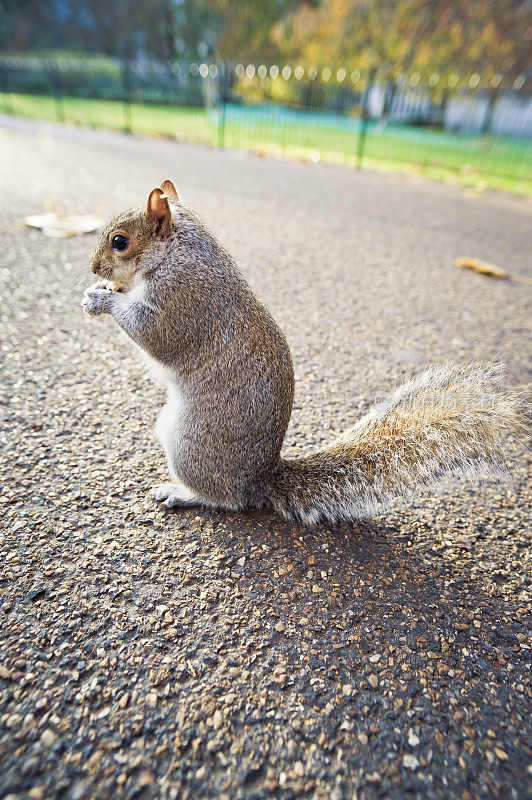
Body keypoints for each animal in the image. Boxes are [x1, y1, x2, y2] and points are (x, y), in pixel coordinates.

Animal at [82, 183, 524, 524]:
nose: (93, 268)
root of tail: (260, 478)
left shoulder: (182, 301)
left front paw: (100, 300)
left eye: (119, 242)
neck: (175, 251)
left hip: (190, 444)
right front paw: (102, 292)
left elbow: (153, 335)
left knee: (227, 500)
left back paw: (182, 492)